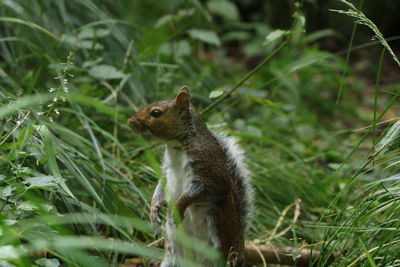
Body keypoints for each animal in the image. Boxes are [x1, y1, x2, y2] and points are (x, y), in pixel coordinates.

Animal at [129, 87, 253, 266]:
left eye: (156, 113)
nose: (130, 122)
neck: (176, 146)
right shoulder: (166, 170)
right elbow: (160, 187)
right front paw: (153, 210)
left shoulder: (211, 170)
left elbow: (207, 190)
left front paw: (179, 206)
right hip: (173, 249)